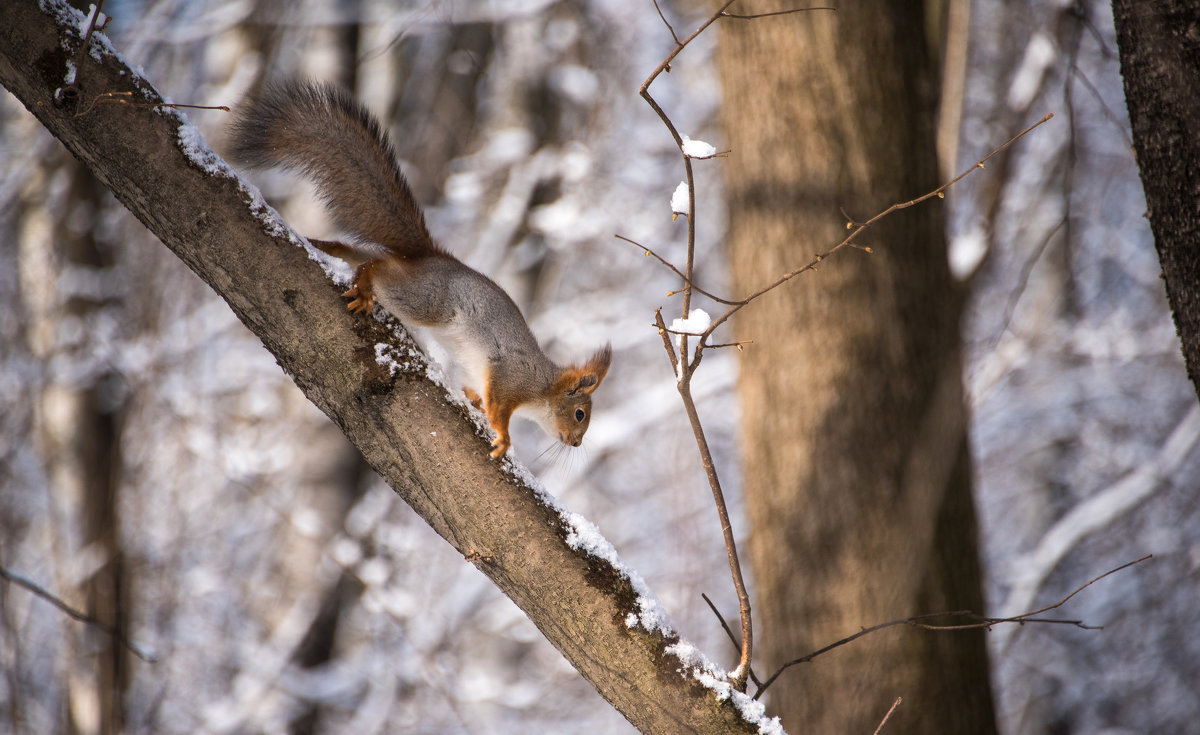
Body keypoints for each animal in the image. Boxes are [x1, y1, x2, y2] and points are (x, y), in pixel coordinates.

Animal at [230, 81, 614, 458]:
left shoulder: (481, 376)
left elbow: (476, 393)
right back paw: (366, 285)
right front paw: (504, 438)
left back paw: (326, 247)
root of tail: (429, 257)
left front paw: (474, 404)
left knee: (360, 254)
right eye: (580, 413)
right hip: (426, 302)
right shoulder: (511, 378)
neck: (543, 386)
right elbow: (500, 409)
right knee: (378, 266)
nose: (576, 443)